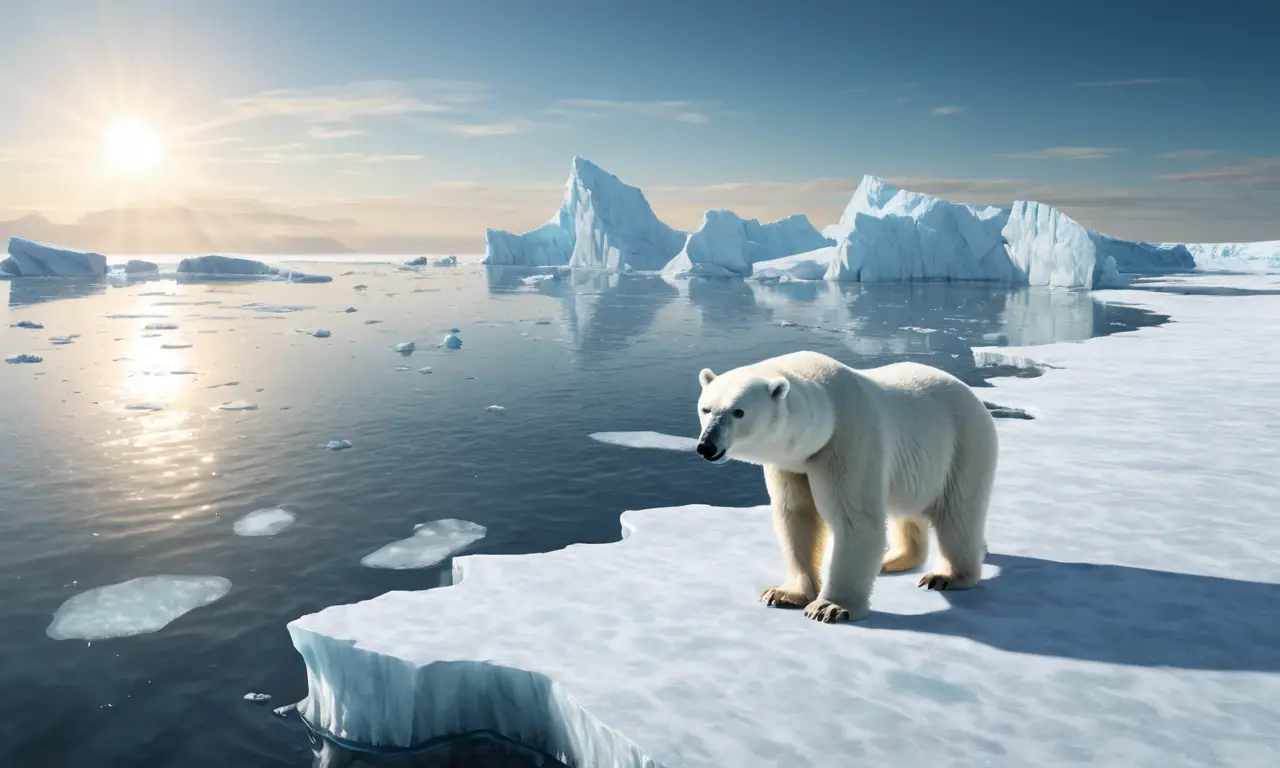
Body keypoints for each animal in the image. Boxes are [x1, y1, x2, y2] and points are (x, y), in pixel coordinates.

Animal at [695, 350, 998, 623]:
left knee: (957, 513)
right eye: (706, 408)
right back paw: (891, 560)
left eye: (739, 411)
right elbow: (796, 516)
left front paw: (830, 607)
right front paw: (784, 594)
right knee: (907, 510)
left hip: (963, 444)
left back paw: (946, 576)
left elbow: (854, 519)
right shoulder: (790, 464)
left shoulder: (846, 440)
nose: (707, 446)